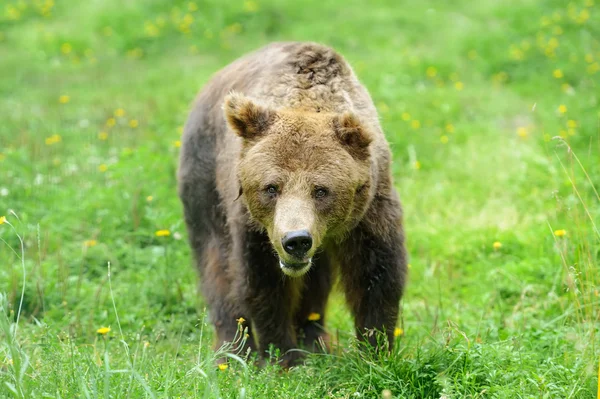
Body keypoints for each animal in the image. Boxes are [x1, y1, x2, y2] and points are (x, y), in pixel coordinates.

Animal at [176, 41, 406, 368]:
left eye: (321, 190)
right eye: (271, 187)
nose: (296, 240)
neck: (306, 98)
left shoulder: (370, 211)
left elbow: (375, 277)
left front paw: (375, 352)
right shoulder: (255, 227)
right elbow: (264, 285)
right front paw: (283, 357)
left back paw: (316, 341)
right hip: (205, 181)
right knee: (216, 263)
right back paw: (233, 352)